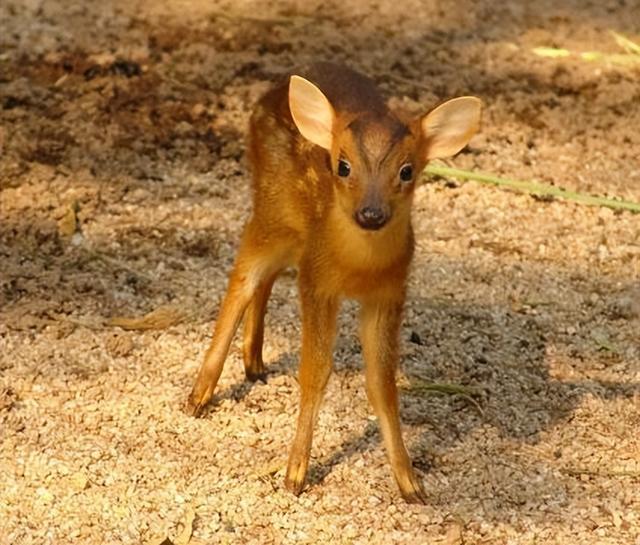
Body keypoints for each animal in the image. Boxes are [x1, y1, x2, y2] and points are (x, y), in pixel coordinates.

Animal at [188, 62, 482, 502]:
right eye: (342, 166)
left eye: (407, 170)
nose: (371, 214)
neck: (357, 270)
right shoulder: (317, 281)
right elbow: (314, 372)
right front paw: (294, 474)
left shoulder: (389, 293)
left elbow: (382, 383)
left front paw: (410, 483)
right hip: (270, 210)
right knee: (243, 276)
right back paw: (199, 395)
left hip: (290, 234)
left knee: (267, 276)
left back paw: (254, 363)